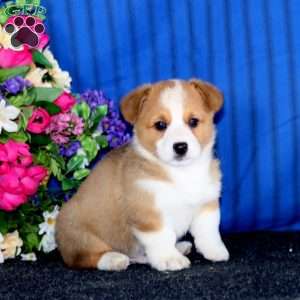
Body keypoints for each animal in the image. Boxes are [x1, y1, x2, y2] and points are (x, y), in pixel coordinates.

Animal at [55, 78, 230, 270]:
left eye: (193, 121)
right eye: (160, 125)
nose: (180, 147)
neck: (180, 173)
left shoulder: (206, 204)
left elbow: (208, 231)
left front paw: (215, 251)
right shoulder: (149, 215)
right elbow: (162, 237)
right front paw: (170, 258)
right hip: (80, 235)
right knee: (83, 257)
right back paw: (113, 259)